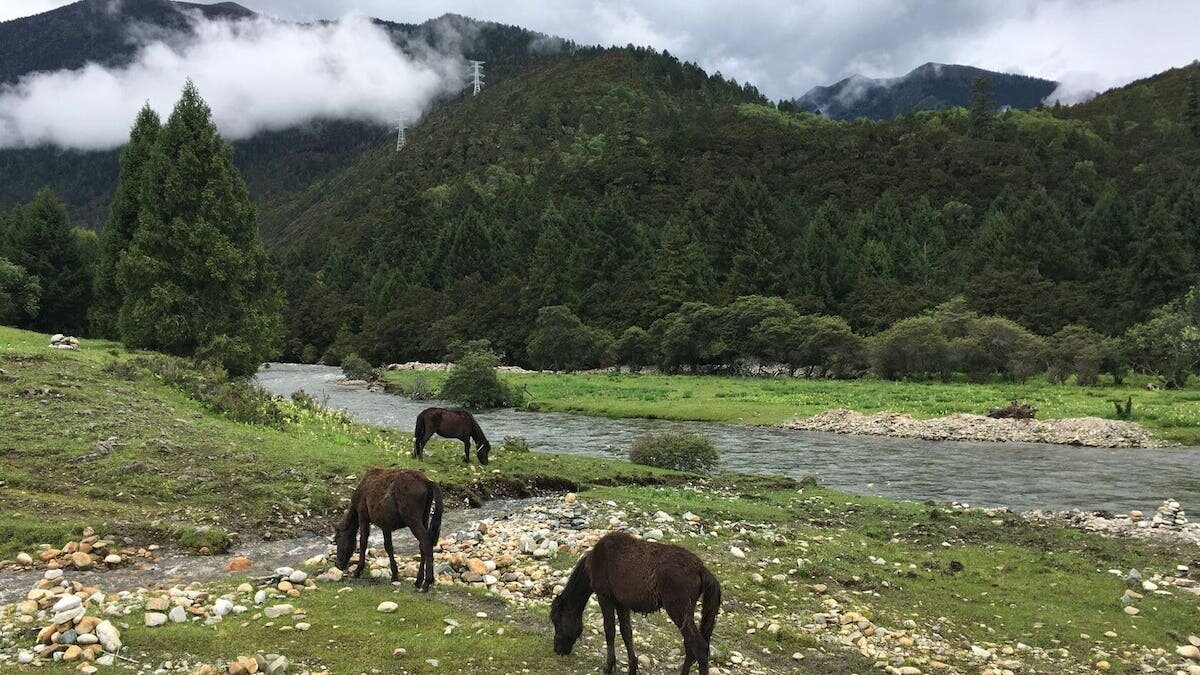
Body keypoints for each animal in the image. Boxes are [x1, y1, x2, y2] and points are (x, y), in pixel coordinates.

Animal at [549, 530, 720, 672]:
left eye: (557, 621)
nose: (557, 649)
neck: (597, 560)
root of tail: (701, 568)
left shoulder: (604, 597)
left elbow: (609, 631)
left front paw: (608, 667)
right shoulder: (621, 603)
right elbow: (626, 633)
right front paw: (632, 667)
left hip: (678, 610)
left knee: (699, 647)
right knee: (690, 646)